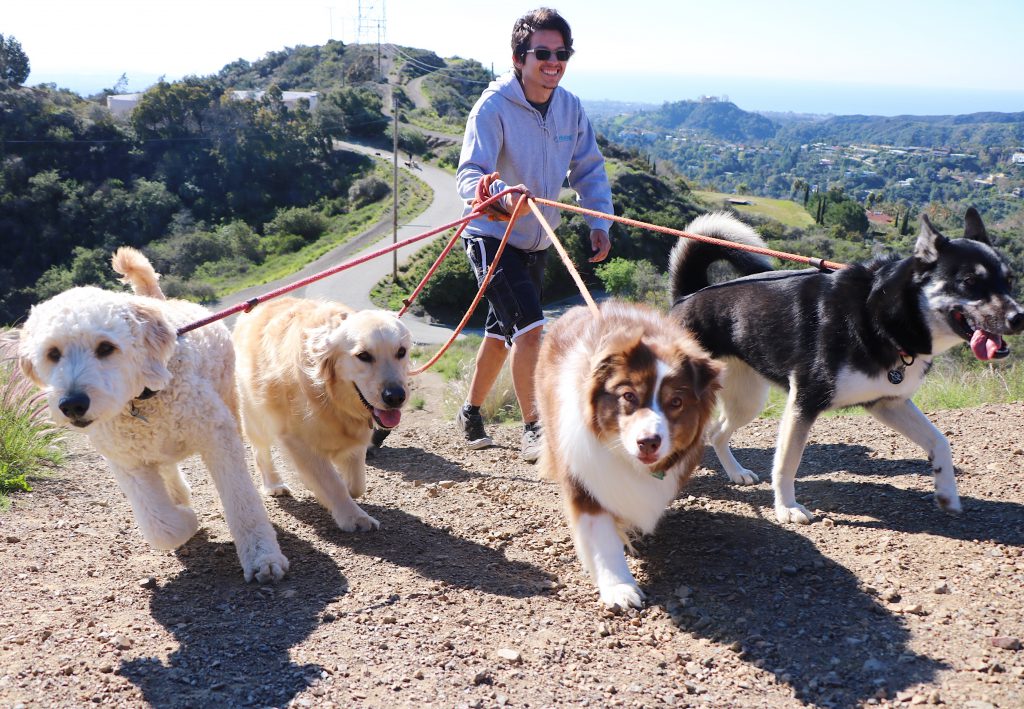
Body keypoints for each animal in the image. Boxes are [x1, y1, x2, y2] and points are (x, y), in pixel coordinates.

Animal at [18, 247, 288, 581]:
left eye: (106, 348)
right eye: (53, 354)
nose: (72, 404)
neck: (140, 401)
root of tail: (158, 302)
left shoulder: (218, 437)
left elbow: (242, 501)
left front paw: (262, 556)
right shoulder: (127, 463)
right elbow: (159, 526)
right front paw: (185, 520)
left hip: (230, 401)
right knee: (167, 467)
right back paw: (179, 496)